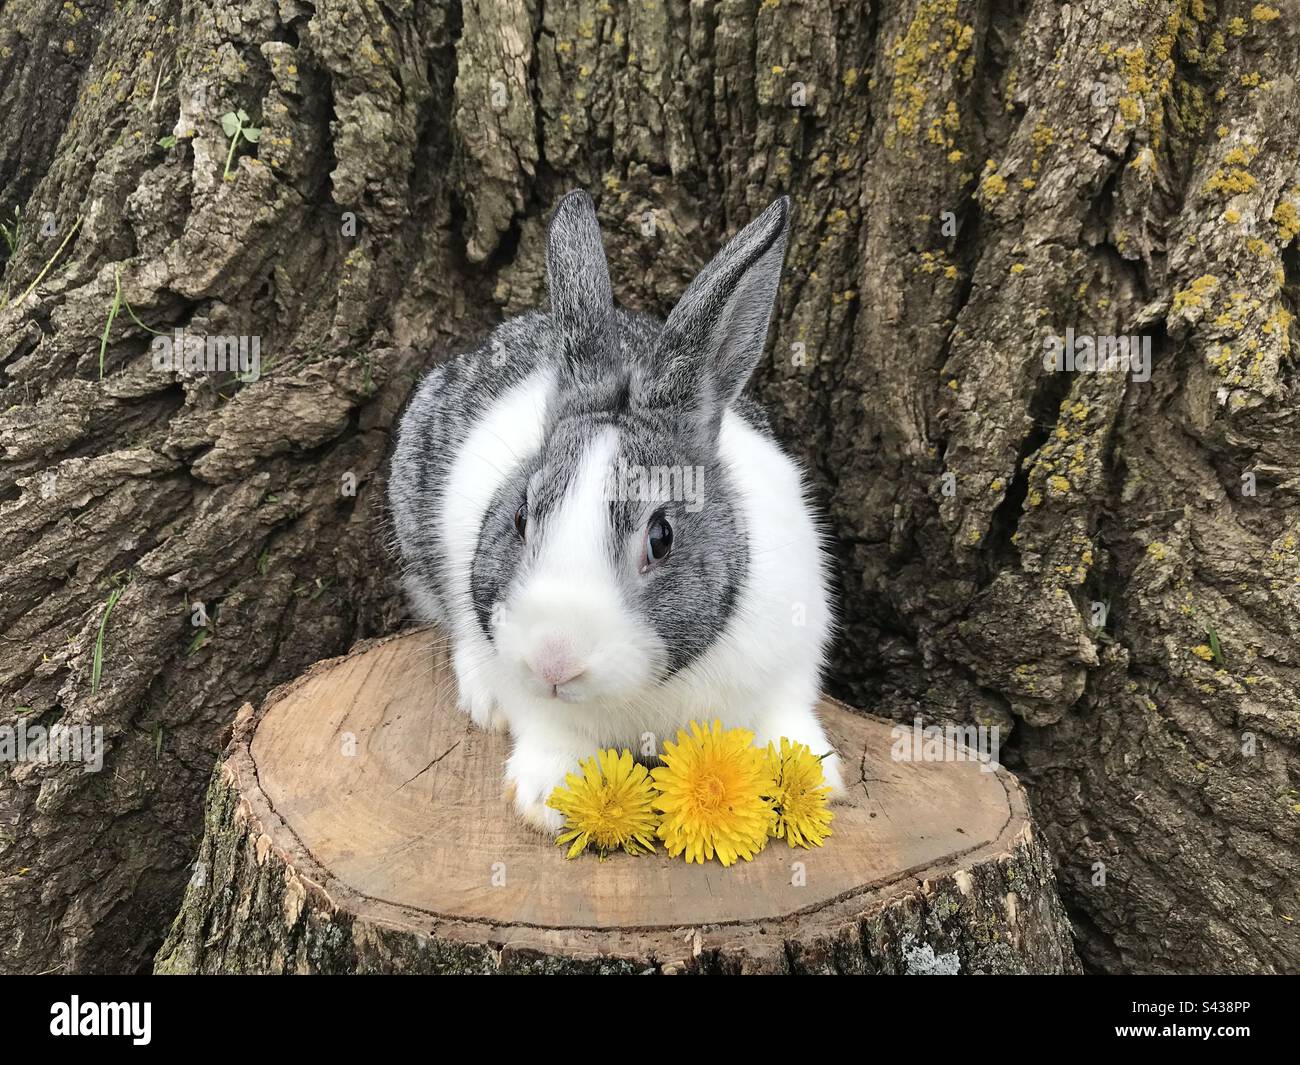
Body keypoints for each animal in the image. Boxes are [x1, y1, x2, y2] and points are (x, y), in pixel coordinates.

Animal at [388, 190, 844, 833]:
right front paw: (549, 799)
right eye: (521, 519)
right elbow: (550, 732)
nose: (554, 661)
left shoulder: (790, 659)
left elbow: (786, 717)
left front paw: (808, 780)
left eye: (662, 537)